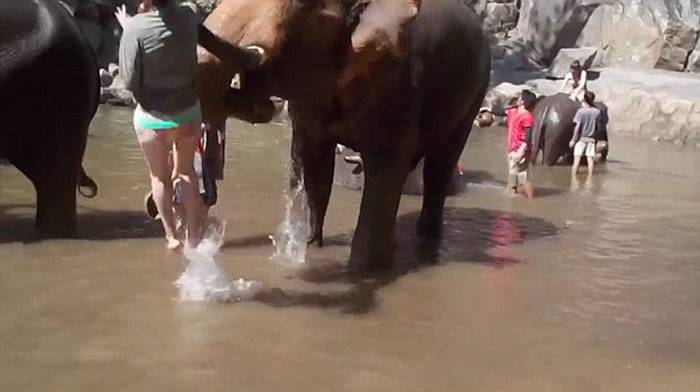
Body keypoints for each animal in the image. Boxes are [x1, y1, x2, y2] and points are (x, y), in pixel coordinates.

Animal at [197, 0, 492, 272]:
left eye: (300, 6)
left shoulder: (400, 87)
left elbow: (386, 170)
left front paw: (363, 271)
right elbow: (314, 164)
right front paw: (309, 247)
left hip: (475, 93)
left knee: (439, 169)